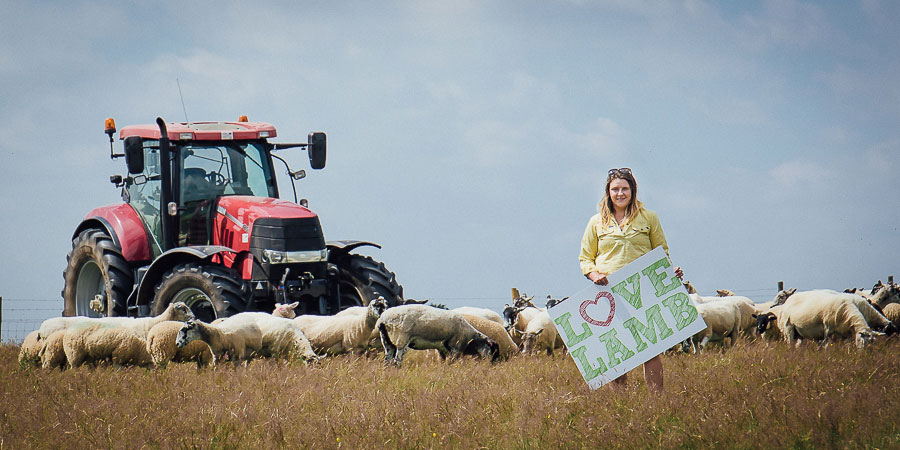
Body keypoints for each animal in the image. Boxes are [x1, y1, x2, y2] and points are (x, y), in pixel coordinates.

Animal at [372, 304, 500, 368]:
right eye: (492, 349)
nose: (491, 365)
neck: (471, 339)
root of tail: (383, 320)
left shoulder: (442, 349)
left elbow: (442, 362)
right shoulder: (455, 348)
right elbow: (451, 363)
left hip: (386, 341)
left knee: (387, 361)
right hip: (401, 339)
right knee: (396, 361)